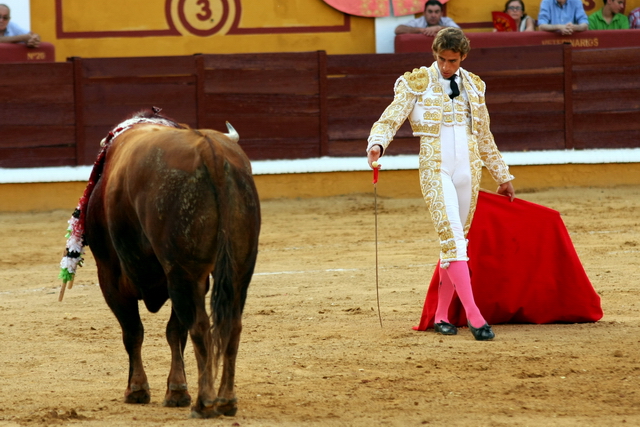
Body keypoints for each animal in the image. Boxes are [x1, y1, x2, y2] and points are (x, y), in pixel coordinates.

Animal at [59, 108, 260, 420]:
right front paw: (176, 389)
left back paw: (205, 403)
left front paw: (137, 389)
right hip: (238, 268)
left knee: (200, 325)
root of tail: (210, 150)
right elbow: (174, 330)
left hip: (183, 272)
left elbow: (133, 332)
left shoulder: (110, 276)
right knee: (231, 324)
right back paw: (226, 400)